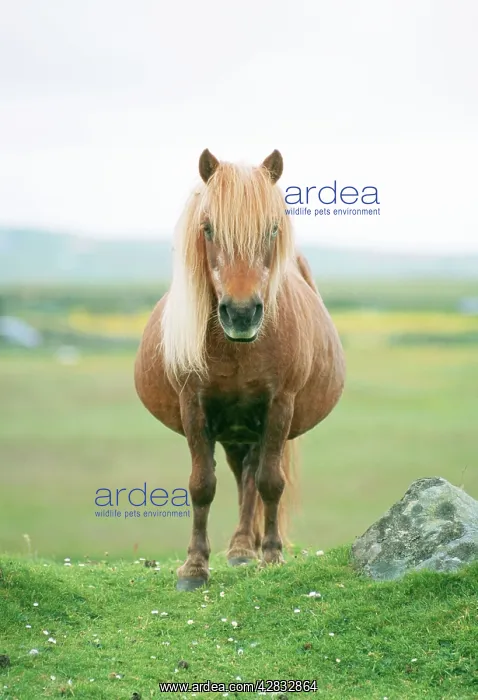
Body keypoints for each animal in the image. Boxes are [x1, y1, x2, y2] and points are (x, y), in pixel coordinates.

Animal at [134, 149, 345, 591]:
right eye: (208, 228)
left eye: (272, 229)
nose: (243, 313)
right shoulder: (193, 407)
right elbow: (202, 485)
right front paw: (194, 567)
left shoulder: (279, 406)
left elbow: (270, 482)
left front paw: (273, 556)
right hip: (234, 431)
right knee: (239, 476)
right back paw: (240, 548)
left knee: (253, 477)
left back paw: (248, 549)